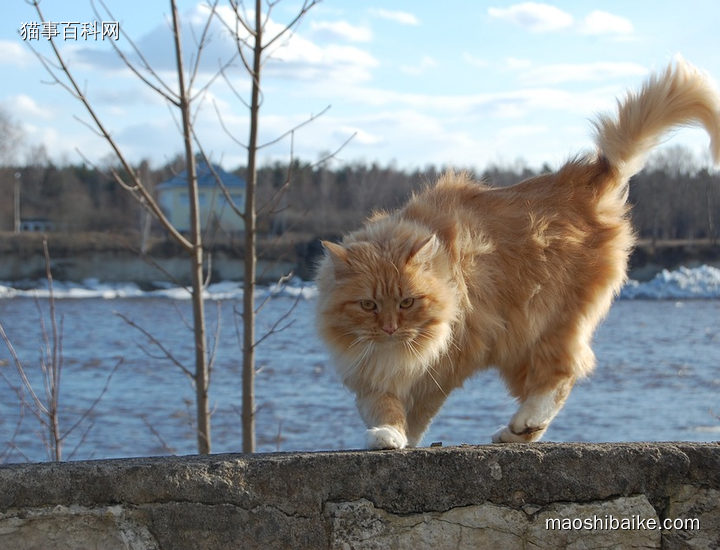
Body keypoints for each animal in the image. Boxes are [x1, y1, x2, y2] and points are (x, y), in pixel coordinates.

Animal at [316, 58, 720, 450]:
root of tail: (588, 177)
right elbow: (382, 404)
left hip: (542, 326)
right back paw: (517, 432)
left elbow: (419, 409)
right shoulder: (367, 371)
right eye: (368, 305)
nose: (389, 328)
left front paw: (405, 437)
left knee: (563, 374)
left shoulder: (448, 361)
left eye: (407, 302)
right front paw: (386, 433)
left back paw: (524, 422)